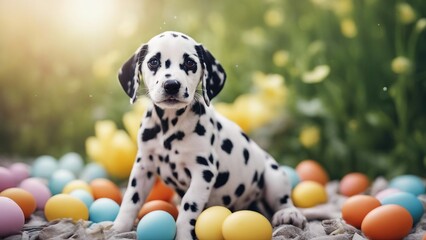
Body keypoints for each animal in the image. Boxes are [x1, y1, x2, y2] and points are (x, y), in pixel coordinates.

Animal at [113, 31, 306, 239]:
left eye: (190, 63)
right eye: (153, 62)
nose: (171, 85)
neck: (169, 126)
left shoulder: (203, 171)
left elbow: (188, 206)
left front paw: (183, 235)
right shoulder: (143, 166)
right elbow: (131, 199)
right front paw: (118, 228)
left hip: (274, 175)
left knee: (282, 199)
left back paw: (289, 213)